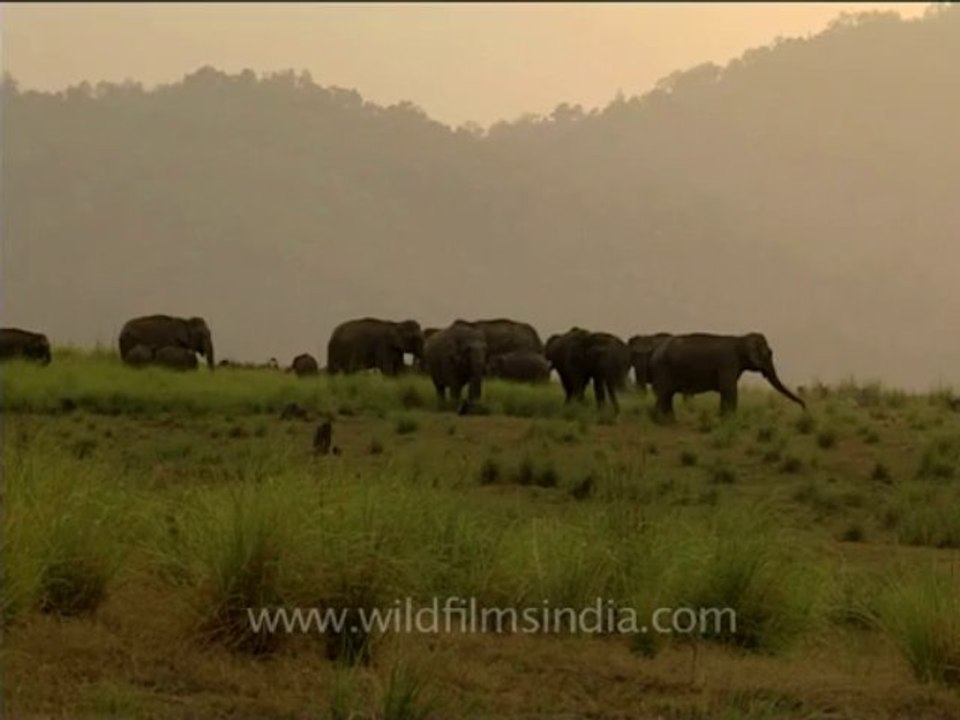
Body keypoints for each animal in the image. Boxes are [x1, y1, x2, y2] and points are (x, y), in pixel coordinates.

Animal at [649, 333, 807, 418]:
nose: (804, 408)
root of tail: (656, 353)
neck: (741, 339)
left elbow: (727, 391)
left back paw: (667, 422)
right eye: (769, 353)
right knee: (664, 395)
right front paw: (730, 419)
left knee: (666, 396)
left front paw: (722, 418)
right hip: (663, 369)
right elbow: (729, 390)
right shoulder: (728, 362)